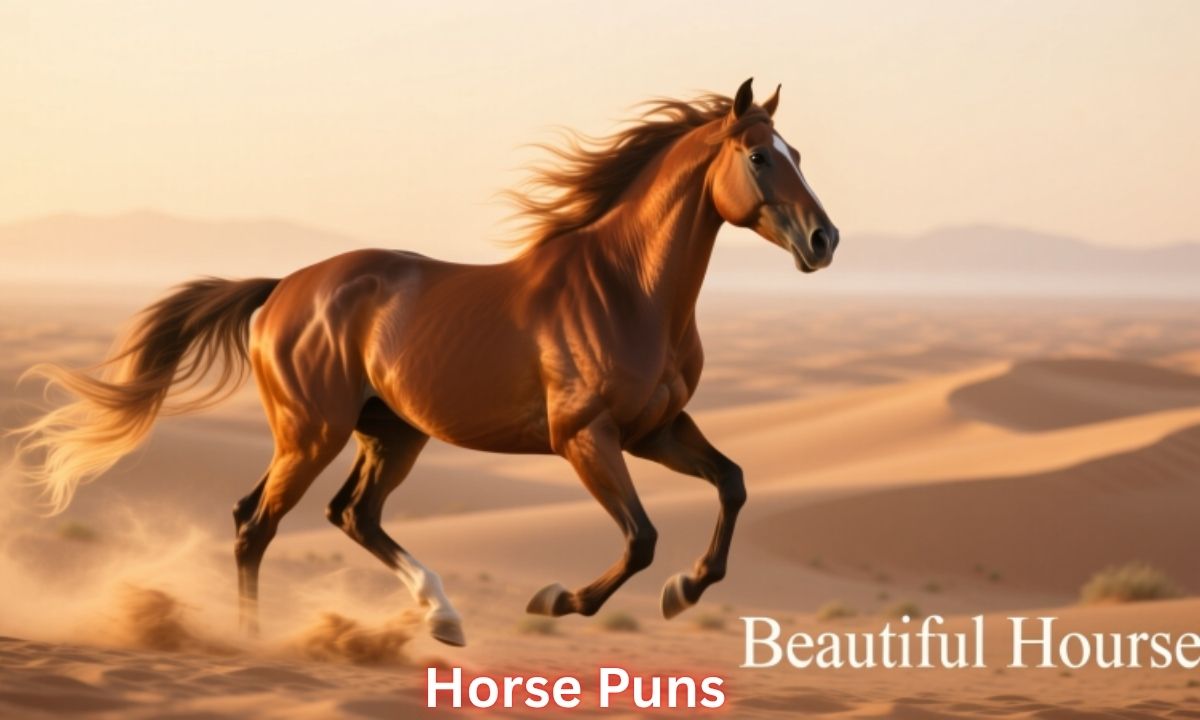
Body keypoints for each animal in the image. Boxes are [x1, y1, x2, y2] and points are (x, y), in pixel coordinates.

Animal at [14, 78, 838, 647]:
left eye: (799, 154)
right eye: (760, 157)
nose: (824, 240)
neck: (628, 288)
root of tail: (281, 290)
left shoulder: (655, 430)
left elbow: (732, 485)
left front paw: (684, 590)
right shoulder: (585, 437)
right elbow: (640, 538)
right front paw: (559, 599)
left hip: (393, 433)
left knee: (351, 514)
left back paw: (442, 616)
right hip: (311, 434)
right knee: (257, 524)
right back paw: (253, 643)